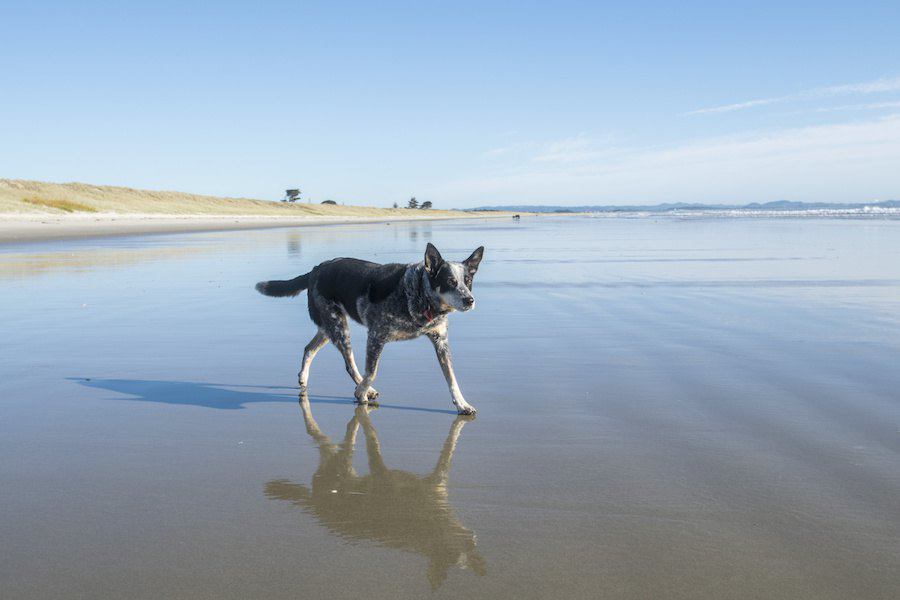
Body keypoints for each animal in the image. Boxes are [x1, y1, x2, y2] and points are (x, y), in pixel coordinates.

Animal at [256, 243, 486, 412]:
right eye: (450, 282)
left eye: (468, 281)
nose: (469, 300)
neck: (419, 294)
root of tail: (315, 269)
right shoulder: (376, 335)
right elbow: (372, 371)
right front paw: (361, 393)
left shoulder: (440, 341)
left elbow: (451, 378)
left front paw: (462, 404)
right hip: (338, 328)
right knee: (350, 364)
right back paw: (363, 388)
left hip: (328, 327)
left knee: (309, 348)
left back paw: (304, 376)